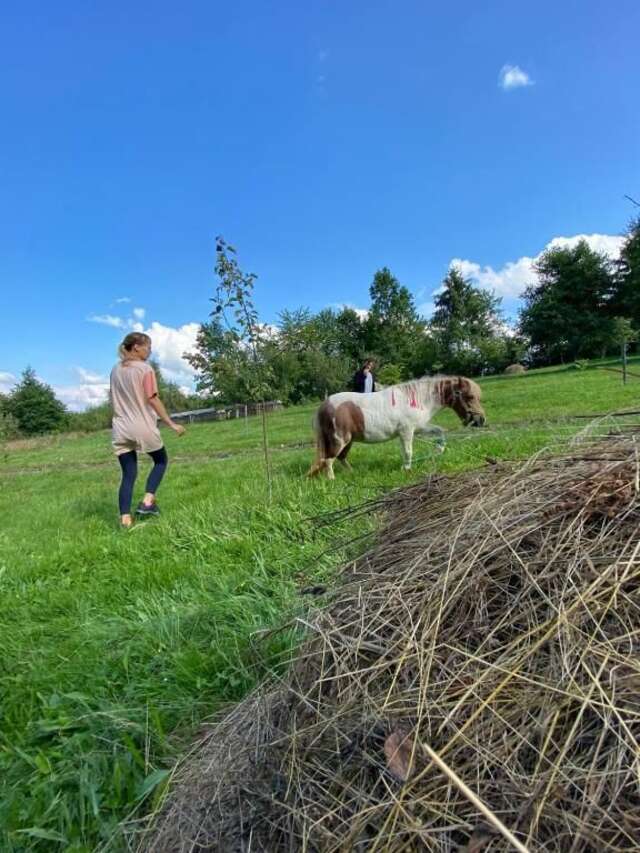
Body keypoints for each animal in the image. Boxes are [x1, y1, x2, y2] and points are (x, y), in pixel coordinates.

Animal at [306, 374, 484, 480]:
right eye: (470, 396)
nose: (480, 420)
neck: (417, 398)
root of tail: (324, 405)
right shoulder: (407, 431)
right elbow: (408, 451)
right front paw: (407, 469)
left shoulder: (418, 428)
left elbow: (439, 431)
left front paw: (439, 450)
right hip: (340, 440)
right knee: (328, 460)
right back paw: (332, 479)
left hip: (349, 441)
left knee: (340, 458)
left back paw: (353, 473)